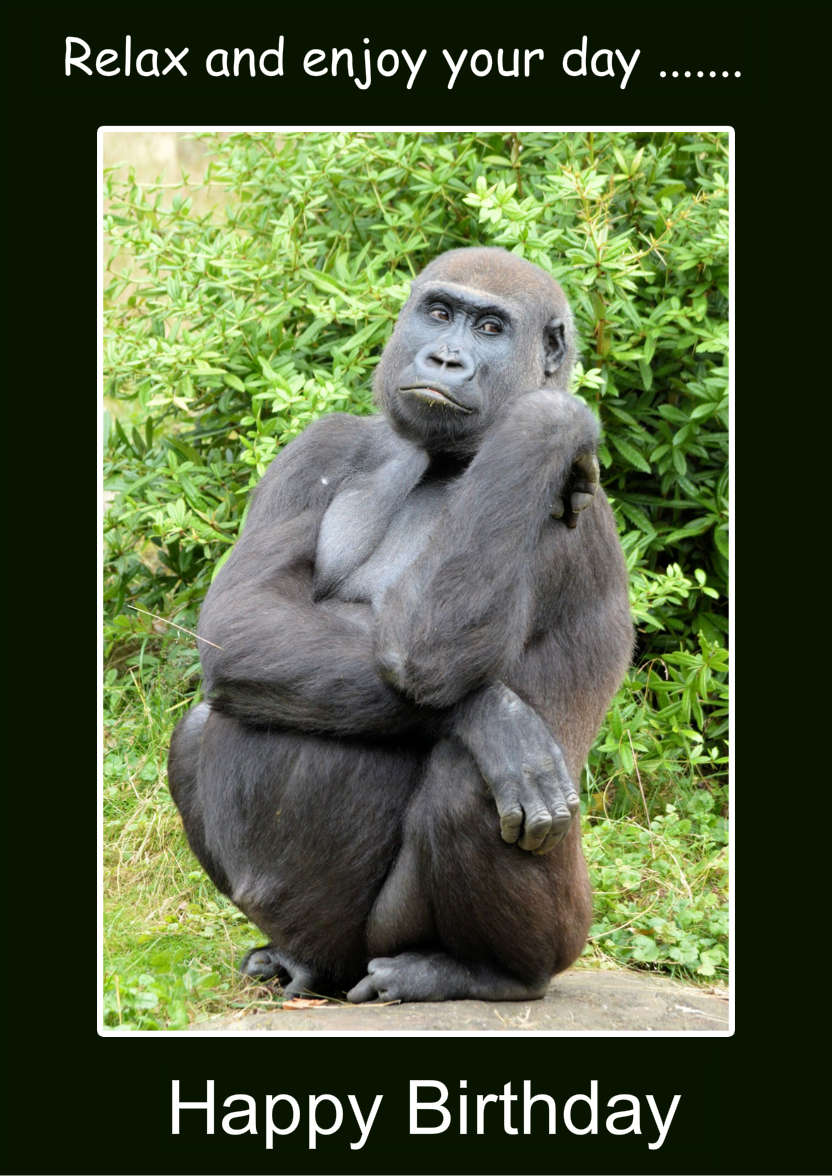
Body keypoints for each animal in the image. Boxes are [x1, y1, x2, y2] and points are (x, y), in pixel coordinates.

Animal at [168, 246, 633, 1003]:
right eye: (439, 314)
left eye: (491, 328)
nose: (445, 358)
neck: (444, 460)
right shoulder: (320, 446)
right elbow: (241, 622)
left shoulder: (563, 505)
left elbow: (433, 653)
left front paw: (548, 420)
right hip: (332, 953)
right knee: (199, 726)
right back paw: (295, 958)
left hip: (519, 941)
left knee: (471, 786)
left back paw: (487, 973)